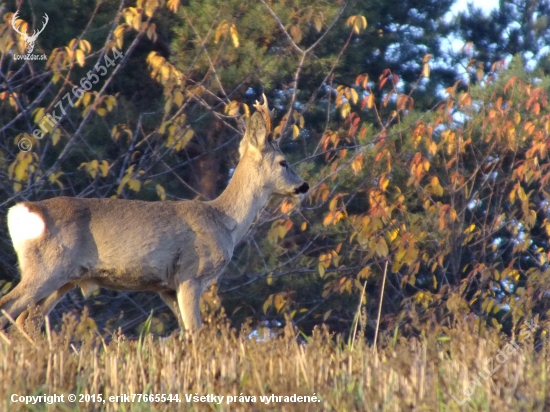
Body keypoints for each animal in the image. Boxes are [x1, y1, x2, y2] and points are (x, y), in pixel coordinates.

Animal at [0, 96, 310, 332]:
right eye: (283, 162)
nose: (303, 186)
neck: (224, 221)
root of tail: (20, 211)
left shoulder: (166, 288)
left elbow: (185, 332)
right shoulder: (191, 274)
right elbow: (196, 332)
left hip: (64, 277)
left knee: (28, 319)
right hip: (47, 267)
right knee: (8, 307)